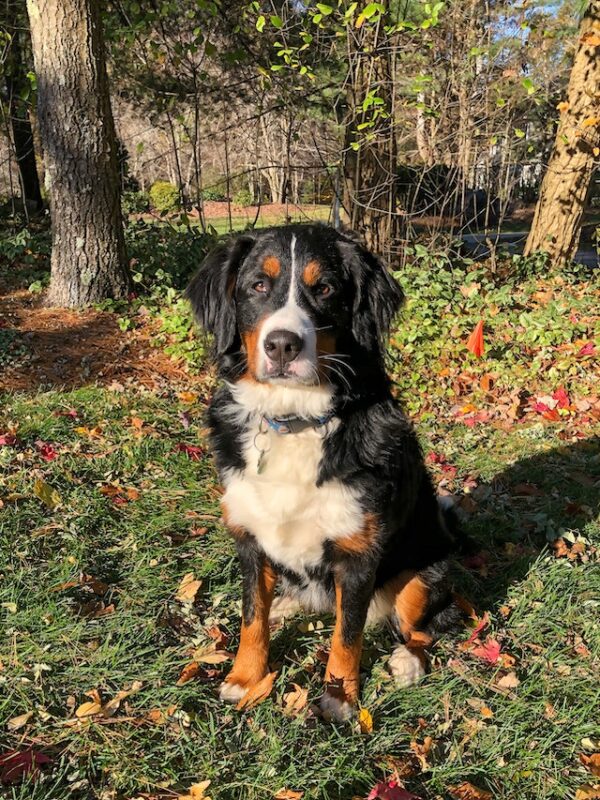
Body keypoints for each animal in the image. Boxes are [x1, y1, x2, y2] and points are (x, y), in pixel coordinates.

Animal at [185, 222, 462, 720]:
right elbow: (251, 616)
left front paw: (338, 699)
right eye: (258, 285)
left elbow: (347, 635)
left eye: (326, 289)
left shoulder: (357, 554)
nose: (281, 344)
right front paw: (245, 678)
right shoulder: (250, 540)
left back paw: (409, 661)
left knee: (430, 625)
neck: (295, 420)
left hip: (424, 572)